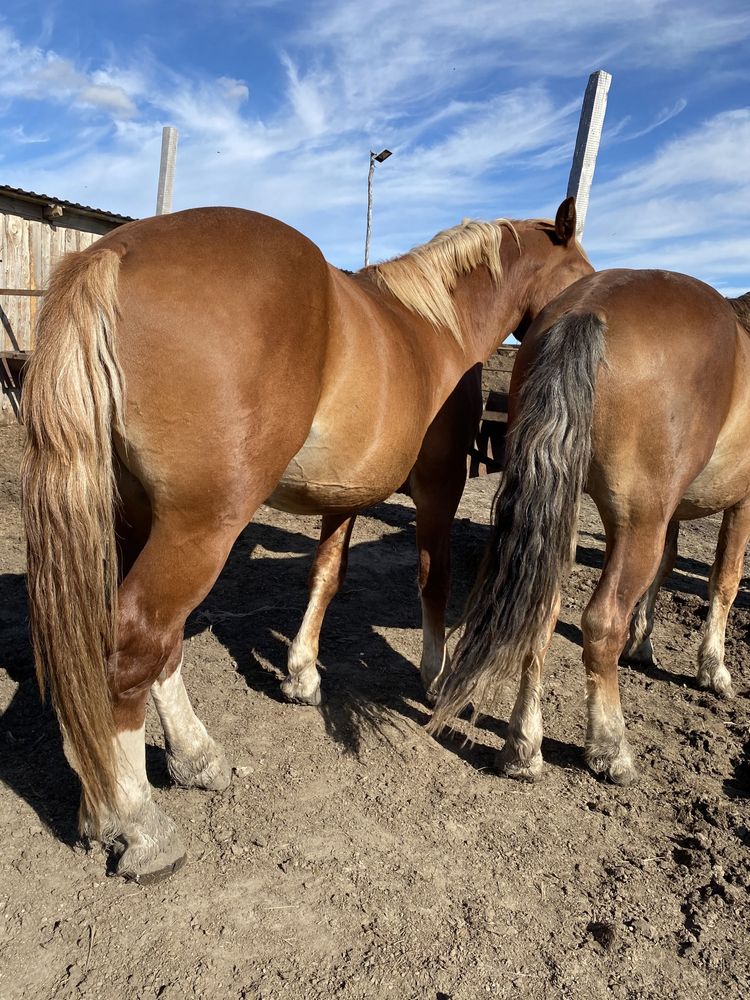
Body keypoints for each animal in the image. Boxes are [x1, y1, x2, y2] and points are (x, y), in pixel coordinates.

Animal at [20, 199, 592, 880]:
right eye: (586, 275)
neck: (438, 326)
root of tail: (116, 251)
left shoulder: (342, 496)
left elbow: (326, 574)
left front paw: (301, 675)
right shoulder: (440, 486)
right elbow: (434, 578)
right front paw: (434, 674)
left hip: (138, 517)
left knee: (159, 647)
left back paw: (193, 759)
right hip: (198, 528)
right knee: (137, 643)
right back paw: (138, 822)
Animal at [428, 270, 750, 784]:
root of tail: (586, 309)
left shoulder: (669, 513)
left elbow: (664, 570)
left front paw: (643, 643)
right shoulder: (738, 502)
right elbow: (724, 580)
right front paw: (714, 671)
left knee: (542, 614)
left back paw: (523, 749)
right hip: (637, 521)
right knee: (601, 625)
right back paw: (610, 748)